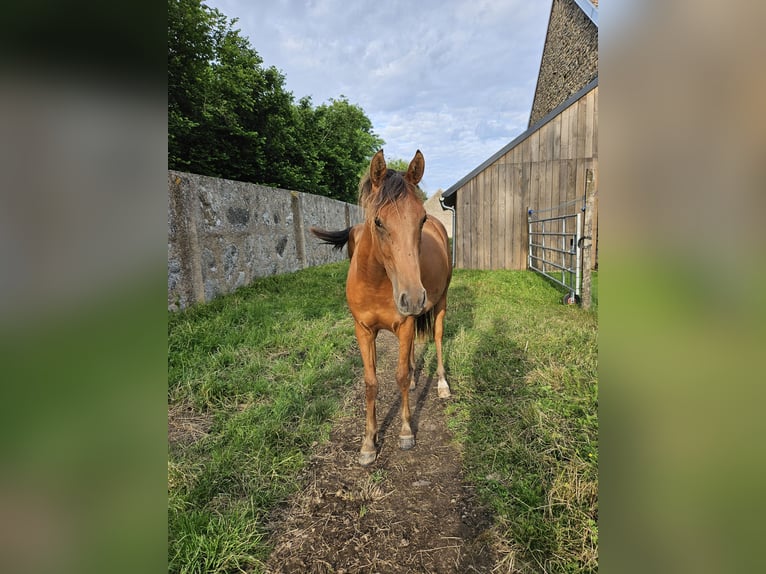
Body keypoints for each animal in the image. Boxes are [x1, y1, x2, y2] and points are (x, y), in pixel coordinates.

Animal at [310, 150, 452, 468]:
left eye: (421, 219)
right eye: (378, 222)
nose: (413, 297)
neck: (376, 282)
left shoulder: (405, 324)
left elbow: (398, 377)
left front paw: (406, 432)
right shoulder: (363, 330)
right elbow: (371, 382)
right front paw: (368, 443)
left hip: (440, 303)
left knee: (437, 338)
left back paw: (441, 385)